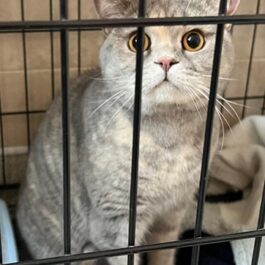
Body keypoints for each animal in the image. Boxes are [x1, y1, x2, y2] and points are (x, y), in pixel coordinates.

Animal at [16, 0, 239, 264]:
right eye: (137, 42)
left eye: (193, 40)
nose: (165, 60)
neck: (168, 142)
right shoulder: (115, 221)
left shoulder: (173, 213)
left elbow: (163, 253)